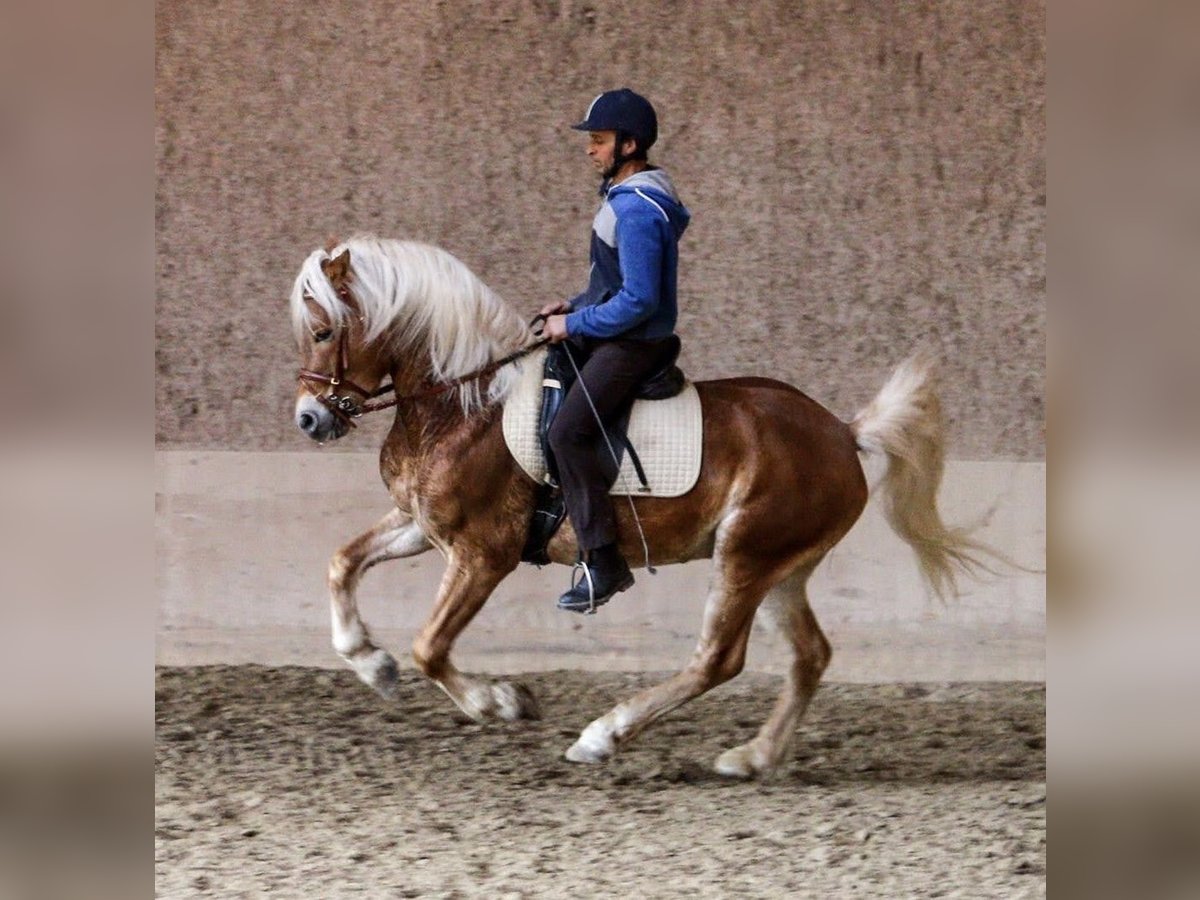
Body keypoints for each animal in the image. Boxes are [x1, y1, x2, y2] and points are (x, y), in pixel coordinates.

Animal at [290, 236, 993, 777]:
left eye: (323, 331)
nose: (309, 420)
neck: (465, 403)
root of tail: (844, 434)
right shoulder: (421, 525)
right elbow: (341, 562)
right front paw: (371, 663)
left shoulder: (483, 553)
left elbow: (430, 646)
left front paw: (501, 703)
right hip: (781, 569)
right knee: (809, 655)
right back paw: (754, 757)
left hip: (746, 555)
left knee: (718, 658)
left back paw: (604, 736)